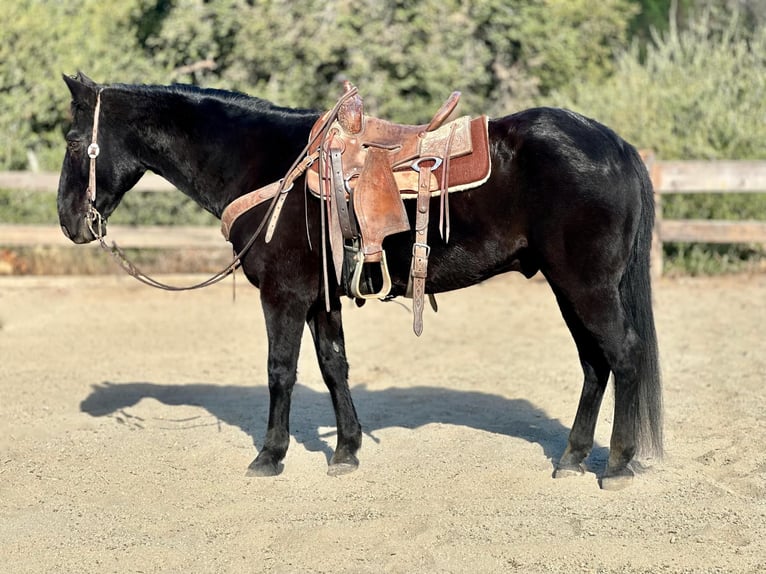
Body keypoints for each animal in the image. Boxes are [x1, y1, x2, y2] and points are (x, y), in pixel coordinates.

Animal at [57, 72, 662, 489]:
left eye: (71, 140)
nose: (68, 221)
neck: (268, 166)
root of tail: (615, 145)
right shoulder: (320, 299)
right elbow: (333, 367)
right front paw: (346, 450)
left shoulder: (283, 295)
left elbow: (281, 372)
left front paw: (269, 456)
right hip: (568, 288)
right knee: (595, 363)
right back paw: (573, 457)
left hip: (586, 286)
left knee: (624, 356)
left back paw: (619, 464)